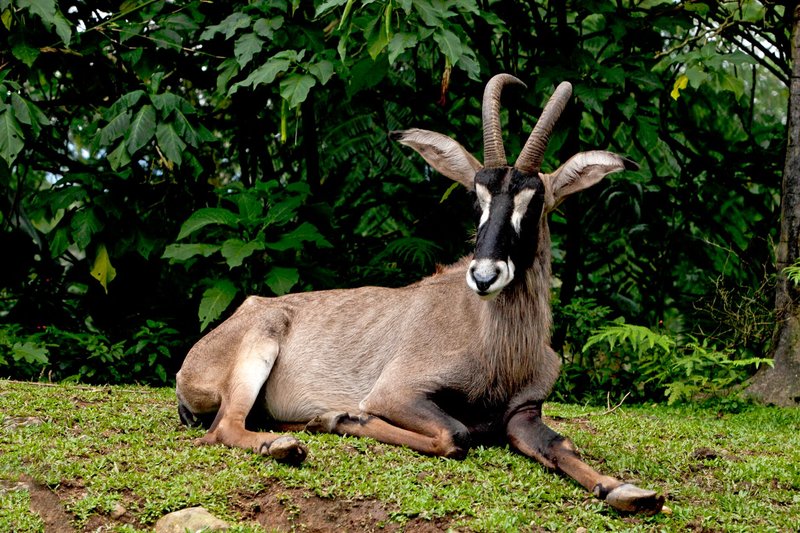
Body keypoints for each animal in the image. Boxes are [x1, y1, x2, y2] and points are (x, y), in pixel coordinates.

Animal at [176, 74, 665, 514]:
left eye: (535, 202)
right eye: (477, 199)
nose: (484, 276)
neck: (498, 348)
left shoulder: (524, 414)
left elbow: (561, 446)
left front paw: (626, 491)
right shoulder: (396, 393)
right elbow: (455, 435)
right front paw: (344, 417)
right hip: (257, 354)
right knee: (223, 429)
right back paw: (285, 444)